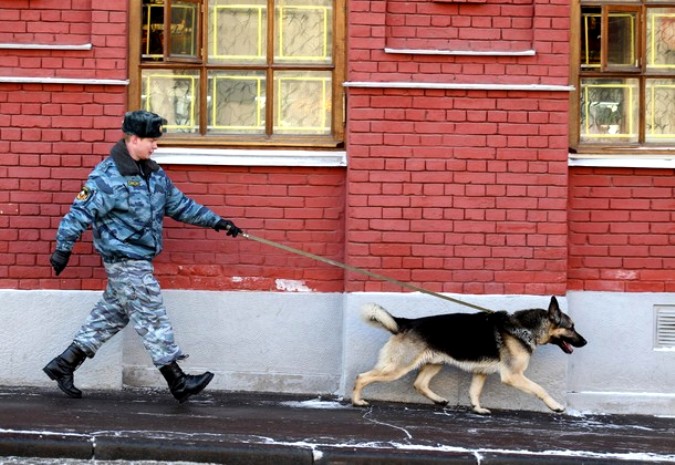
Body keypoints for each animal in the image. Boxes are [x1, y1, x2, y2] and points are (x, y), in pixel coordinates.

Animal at [354, 298, 588, 414]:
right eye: (571, 327)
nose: (585, 342)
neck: (524, 328)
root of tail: (406, 322)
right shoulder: (513, 376)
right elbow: (540, 389)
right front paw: (556, 406)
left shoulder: (480, 372)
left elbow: (474, 392)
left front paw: (477, 409)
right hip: (398, 368)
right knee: (362, 377)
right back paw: (357, 401)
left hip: (435, 363)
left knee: (419, 384)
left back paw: (438, 400)